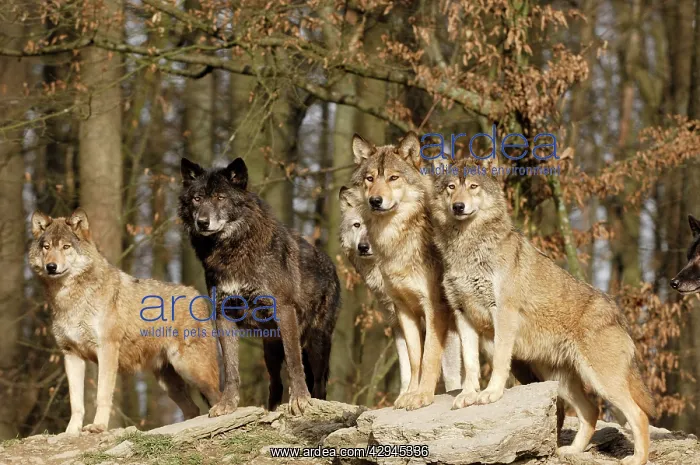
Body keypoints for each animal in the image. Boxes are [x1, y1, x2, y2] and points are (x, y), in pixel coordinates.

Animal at [29, 209, 220, 435]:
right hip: (169, 382)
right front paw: (71, 432)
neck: (70, 300)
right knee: (193, 409)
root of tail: (197, 295)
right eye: (46, 247)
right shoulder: (71, 355)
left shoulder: (107, 350)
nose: (51, 266)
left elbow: (102, 394)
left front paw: (98, 426)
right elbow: (76, 403)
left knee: (217, 394)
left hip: (192, 369)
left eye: (66, 247)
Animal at [178, 157, 341, 416]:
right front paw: (227, 404)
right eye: (197, 198)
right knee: (275, 383)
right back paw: (272, 409)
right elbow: (231, 369)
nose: (202, 222)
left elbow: (294, 362)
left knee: (318, 382)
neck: (231, 251)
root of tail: (331, 266)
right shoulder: (223, 315)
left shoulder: (284, 310)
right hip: (271, 348)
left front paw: (300, 399)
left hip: (317, 343)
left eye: (220, 197)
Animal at [338, 185, 462, 394]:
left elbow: (448, 374)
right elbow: (408, 369)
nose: (363, 247)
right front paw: (406, 395)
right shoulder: (397, 322)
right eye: (357, 225)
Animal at [430, 159, 655, 465]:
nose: (458, 206)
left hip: (602, 382)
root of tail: (616, 312)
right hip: (560, 381)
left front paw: (491, 394)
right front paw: (468, 395)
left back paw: (635, 459)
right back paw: (571, 451)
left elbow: (499, 362)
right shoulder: (463, 316)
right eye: (451, 187)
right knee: (591, 411)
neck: (468, 250)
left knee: (638, 415)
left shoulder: (503, 314)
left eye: (473, 186)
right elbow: (471, 366)